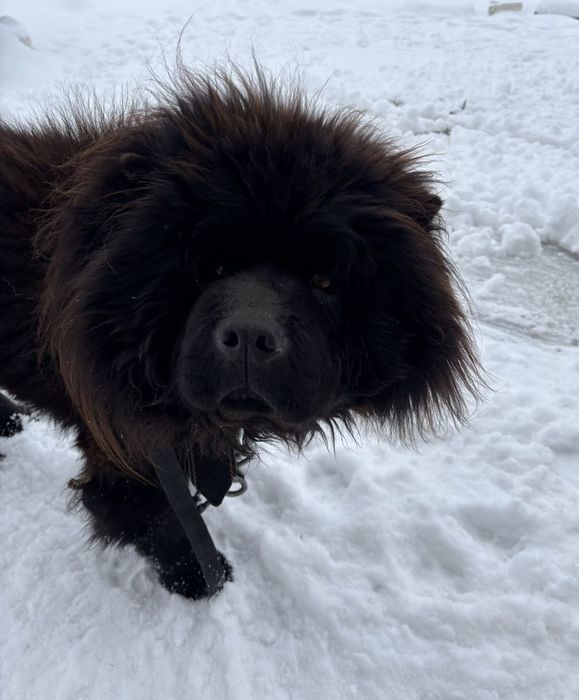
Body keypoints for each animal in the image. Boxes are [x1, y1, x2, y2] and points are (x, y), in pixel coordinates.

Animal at [0, 65, 480, 598]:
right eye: (211, 269)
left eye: (324, 281)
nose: (250, 336)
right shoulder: (128, 448)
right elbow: (163, 520)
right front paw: (200, 578)